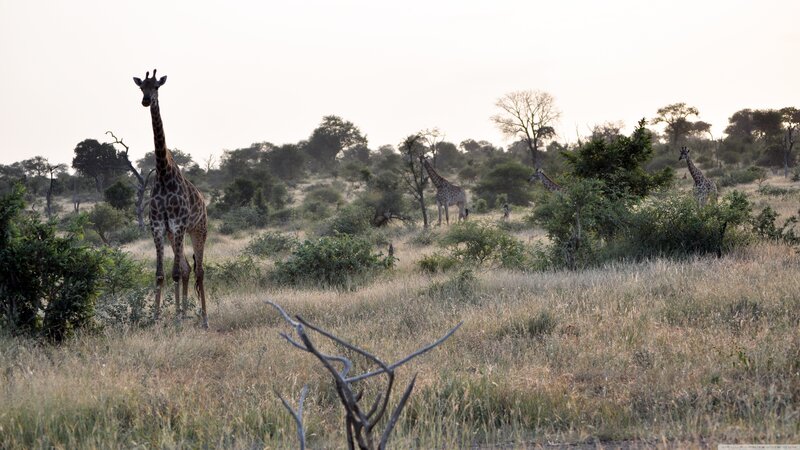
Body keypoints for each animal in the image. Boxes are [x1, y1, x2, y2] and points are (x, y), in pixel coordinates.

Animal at [133, 69, 209, 329]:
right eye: (141, 87)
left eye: (157, 86)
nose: (146, 101)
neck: (164, 173)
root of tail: (205, 204)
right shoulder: (158, 226)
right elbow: (161, 274)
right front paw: (156, 319)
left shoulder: (177, 224)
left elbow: (175, 273)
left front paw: (175, 320)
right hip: (175, 233)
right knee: (187, 268)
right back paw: (185, 314)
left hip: (198, 230)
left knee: (199, 271)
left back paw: (203, 319)